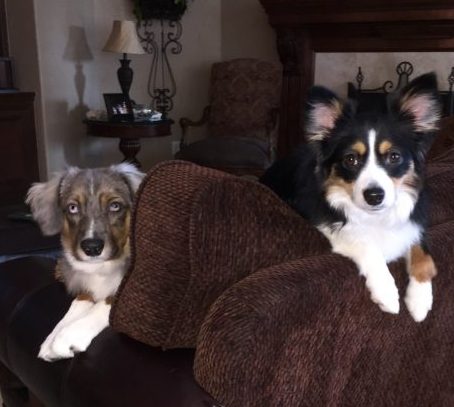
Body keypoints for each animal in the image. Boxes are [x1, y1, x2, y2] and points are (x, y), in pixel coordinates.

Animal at [27, 163, 144, 360]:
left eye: (115, 206)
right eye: (73, 207)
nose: (92, 248)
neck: (101, 269)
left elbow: (103, 305)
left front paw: (67, 337)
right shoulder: (85, 288)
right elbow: (76, 305)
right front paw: (52, 338)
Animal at [260, 72, 442, 322]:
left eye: (394, 157)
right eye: (351, 159)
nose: (374, 196)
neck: (376, 216)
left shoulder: (415, 222)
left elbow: (424, 255)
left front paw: (420, 301)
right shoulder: (325, 221)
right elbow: (365, 243)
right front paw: (387, 292)